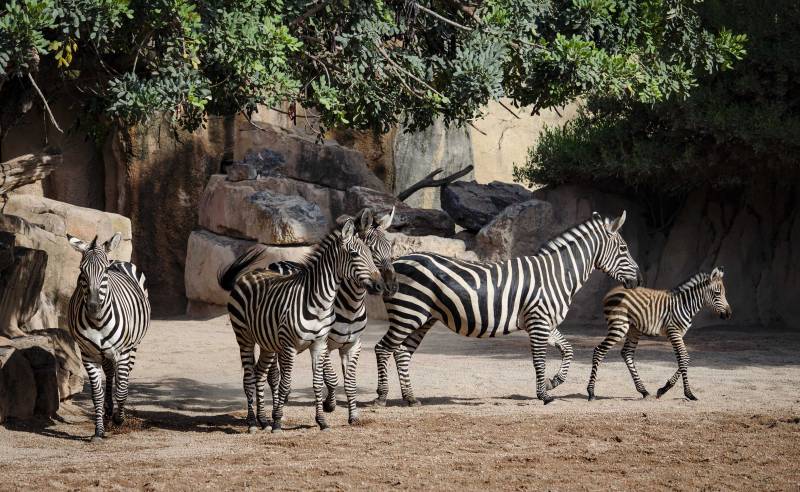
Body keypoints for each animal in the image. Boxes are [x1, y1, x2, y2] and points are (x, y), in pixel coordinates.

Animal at [67, 234, 150, 442]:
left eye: (104, 271)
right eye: (81, 270)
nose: (93, 306)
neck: (97, 322)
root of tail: (117, 260)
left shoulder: (123, 351)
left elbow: (122, 390)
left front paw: (119, 419)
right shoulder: (88, 354)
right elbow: (97, 394)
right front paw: (99, 431)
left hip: (132, 347)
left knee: (123, 378)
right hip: (103, 353)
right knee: (111, 372)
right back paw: (108, 409)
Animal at [217, 217, 382, 432]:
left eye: (371, 253)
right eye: (354, 254)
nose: (380, 285)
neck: (321, 301)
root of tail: (249, 274)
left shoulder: (320, 344)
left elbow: (319, 383)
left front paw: (322, 421)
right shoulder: (290, 346)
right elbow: (286, 383)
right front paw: (278, 422)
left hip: (267, 343)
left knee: (260, 374)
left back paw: (263, 420)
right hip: (244, 337)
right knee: (250, 378)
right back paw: (253, 423)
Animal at [270, 207, 398, 422]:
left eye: (391, 248)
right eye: (371, 250)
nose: (389, 286)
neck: (350, 306)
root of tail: (279, 263)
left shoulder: (353, 344)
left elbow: (349, 382)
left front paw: (351, 415)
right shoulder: (326, 343)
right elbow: (331, 377)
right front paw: (329, 404)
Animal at [376, 211, 644, 408]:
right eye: (623, 249)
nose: (640, 280)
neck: (556, 274)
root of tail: (397, 261)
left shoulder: (546, 321)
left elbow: (568, 350)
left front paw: (553, 382)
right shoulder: (538, 321)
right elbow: (538, 359)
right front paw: (544, 395)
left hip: (422, 318)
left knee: (402, 353)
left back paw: (411, 398)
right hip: (408, 313)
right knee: (383, 348)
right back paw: (381, 397)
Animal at [584, 268, 736, 402]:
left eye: (723, 293)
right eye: (717, 293)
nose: (728, 314)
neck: (685, 305)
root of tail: (610, 292)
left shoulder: (677, 334)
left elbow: (683, 359)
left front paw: (663, 389)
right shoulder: (674, 332)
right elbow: (684, 358)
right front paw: (689, 394)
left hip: (633, 329)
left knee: (626, 353)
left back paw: (643, 391)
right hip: (619, 326)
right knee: (599, 350)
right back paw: (591, 392)